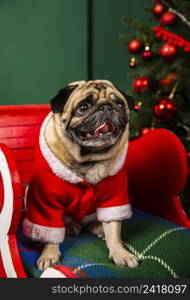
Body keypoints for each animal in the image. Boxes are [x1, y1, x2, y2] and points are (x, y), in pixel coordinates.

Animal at [23, 80, 140, 272]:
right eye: (83, 107)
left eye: (119, 104)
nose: (107, 107)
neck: (89, 159)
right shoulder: (47, 202)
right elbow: (50, 233)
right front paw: (49, 255)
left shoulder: (114, 198)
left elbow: (114, 228)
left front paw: (120, 253)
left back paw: (99, 229)